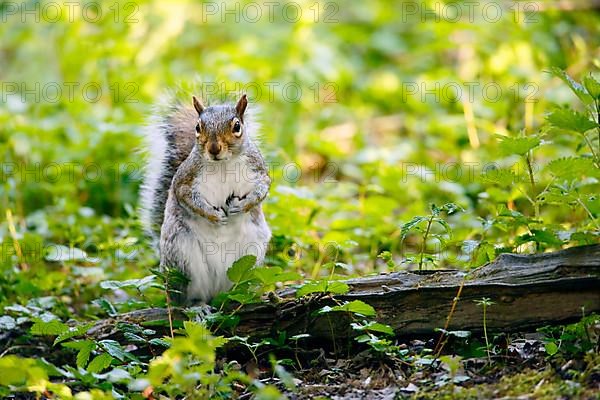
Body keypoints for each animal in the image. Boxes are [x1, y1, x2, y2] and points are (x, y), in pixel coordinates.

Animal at [139, 94, 270, 304]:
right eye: (198, 127)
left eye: (237, 126)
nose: (214, 148)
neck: (223, 164)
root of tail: (215, 292)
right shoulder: (185, 179)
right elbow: (187, 198)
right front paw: (214, 216)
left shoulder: (259, 172)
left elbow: (261, 191)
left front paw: (240, 206)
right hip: (182, 258)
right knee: (185, 298)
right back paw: (198, 305)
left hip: (251, 256)